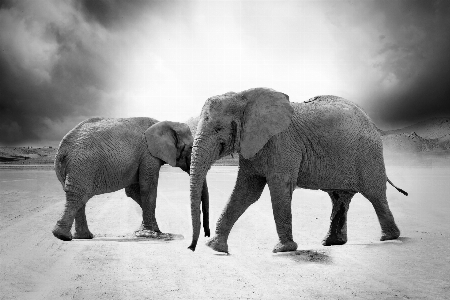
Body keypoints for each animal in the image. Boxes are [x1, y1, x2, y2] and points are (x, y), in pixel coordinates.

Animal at [51, 117, 210, 241]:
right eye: (191, 148)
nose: (207, 235)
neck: (166, 123)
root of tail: (62, 149)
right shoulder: (148, 154)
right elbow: (147, 189)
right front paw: (150, 233)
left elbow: (133, 191)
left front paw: (153, 230)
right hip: (82, 165)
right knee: (78, 196)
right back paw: (62, 236)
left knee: (79, 197)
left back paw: (83, 237)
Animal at [188, 87, 406, 253]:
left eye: (218, 129)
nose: (191, 247)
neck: (243, 97)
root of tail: (373, 123)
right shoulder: (253, 146)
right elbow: (246, 192)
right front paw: (215, 247)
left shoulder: (282, 143)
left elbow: (279, 188)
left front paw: (283, 249)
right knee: (339, 197)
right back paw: (332, 242)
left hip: (368, 154)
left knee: (374, 194)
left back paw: (389, 237)